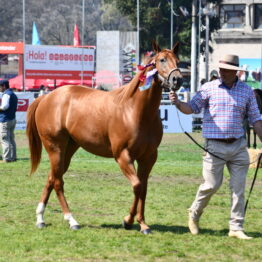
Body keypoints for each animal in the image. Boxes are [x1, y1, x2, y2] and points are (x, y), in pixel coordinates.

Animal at [26, 42, 182, 234]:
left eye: (178, 60)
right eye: (161, 60)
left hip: (68, 150)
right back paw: (71, 220)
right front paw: (128, 220)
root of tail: (46, 97)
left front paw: (142, 223)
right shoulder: (123, 156)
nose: (177, 80)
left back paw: (40, 218)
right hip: (55, 148)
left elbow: (143, 189)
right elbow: (137, 186)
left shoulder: (148, 157)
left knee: (51, 178)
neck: (135, 110)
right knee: (57, 182)